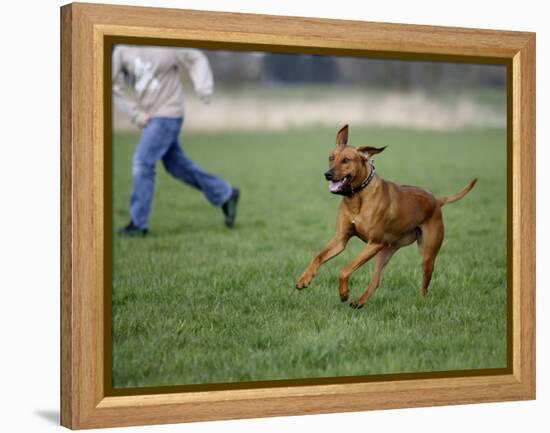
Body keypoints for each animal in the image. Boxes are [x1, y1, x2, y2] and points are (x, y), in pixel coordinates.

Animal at [298, 123, 478, 308]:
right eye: (331, 158)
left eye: (346, 160)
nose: (327, 174)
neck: (357, 196)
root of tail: (436, 200)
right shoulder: (341, 239)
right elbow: (318, 256)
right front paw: (304, 279)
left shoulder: (374, 243)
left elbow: (345, 269)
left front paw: (343, 293)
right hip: (385, 250)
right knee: (376, 281)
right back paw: (359, 301)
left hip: (426, 255)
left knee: (425, 286)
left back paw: (420, 303)